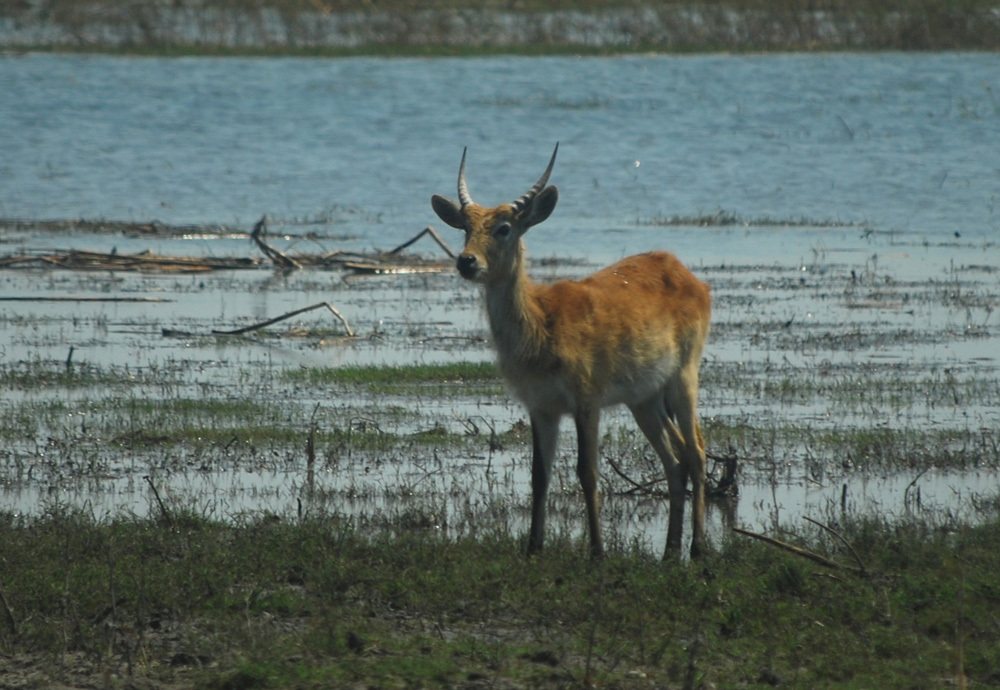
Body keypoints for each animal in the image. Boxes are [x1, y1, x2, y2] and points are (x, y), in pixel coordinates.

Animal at [430, 145, 712, 560]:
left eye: (504, 227)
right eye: (465, 226)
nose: (466, 261)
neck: (540, 328)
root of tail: (690, 277)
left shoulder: (586, 399)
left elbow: (587, 471)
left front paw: (597, 551)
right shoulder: (541, 406)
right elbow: (539, 474)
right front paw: (533, 547)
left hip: (684, 376)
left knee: (696, 453)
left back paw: (698, 547)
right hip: (644, 399)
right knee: (674, 460)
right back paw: (669, 550)